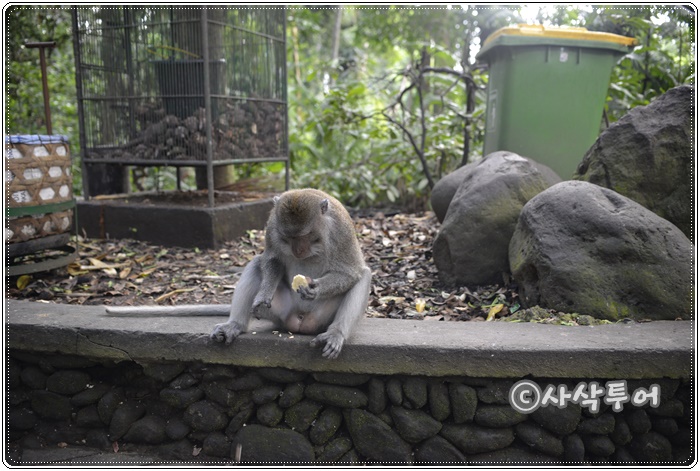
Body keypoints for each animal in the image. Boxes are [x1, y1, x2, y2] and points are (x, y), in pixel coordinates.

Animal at [105, 188, 372, 359]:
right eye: (288, 237)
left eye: (305, 236)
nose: (298, 251)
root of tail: (299, 323)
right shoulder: (272, 225)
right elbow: (271, 259)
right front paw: (263, 295)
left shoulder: (342, 230)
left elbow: (351, 272)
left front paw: (314, 289)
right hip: (280, 313)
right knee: (255, 264)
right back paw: (234, 325)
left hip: (320, 318)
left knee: (364, 276)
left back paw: (335, 334)